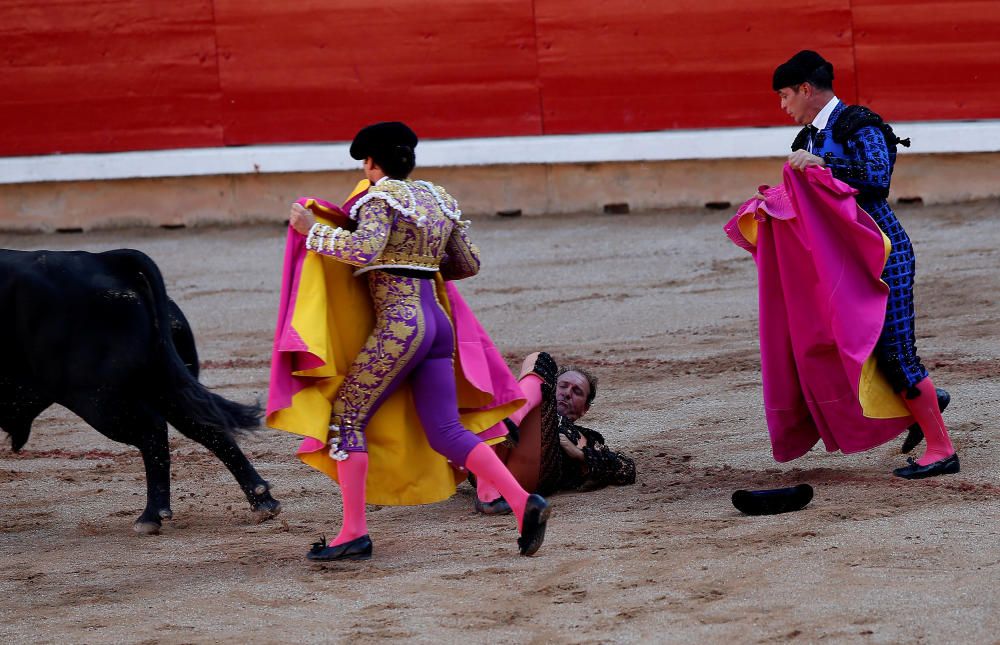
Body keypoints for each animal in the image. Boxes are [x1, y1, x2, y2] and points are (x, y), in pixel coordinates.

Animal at [1, 247, 282, 532]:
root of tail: (102, 258)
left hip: (97, 396)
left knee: (152, 431)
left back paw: (150, 517)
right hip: (162, 384)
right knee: (205, 427)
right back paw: (263, 502)